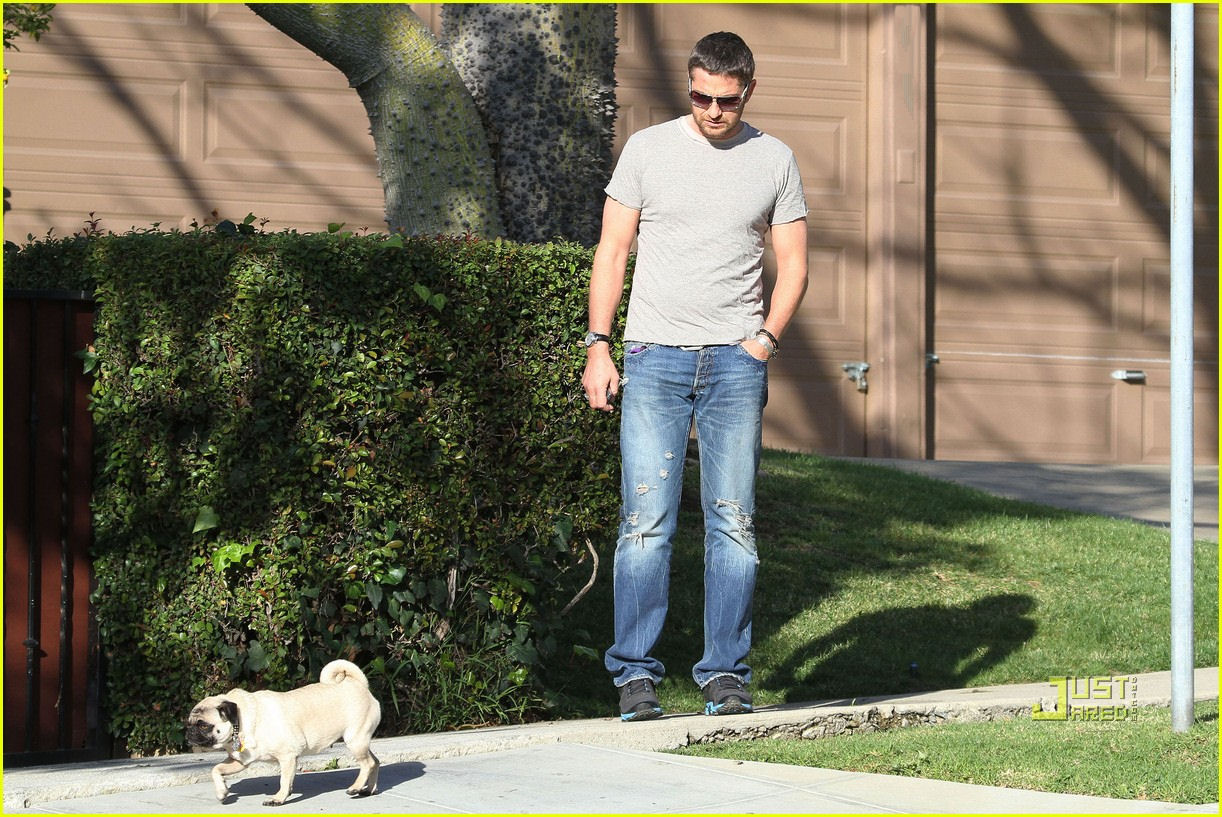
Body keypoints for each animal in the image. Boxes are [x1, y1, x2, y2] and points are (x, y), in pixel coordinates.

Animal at [185, 659, 382, 806]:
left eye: (203, 725)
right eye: (189, 723)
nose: (189, 733)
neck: (240, 722)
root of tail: (358, 684)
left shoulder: (287, 756)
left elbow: (284, 780)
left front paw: (278, 798)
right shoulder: (240, 761)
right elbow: (215, 769)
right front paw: (222, 792)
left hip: (354, 739)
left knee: (367, 764)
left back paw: (356, 787)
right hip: (360, 741)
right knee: (375, 762)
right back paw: (369, 789)